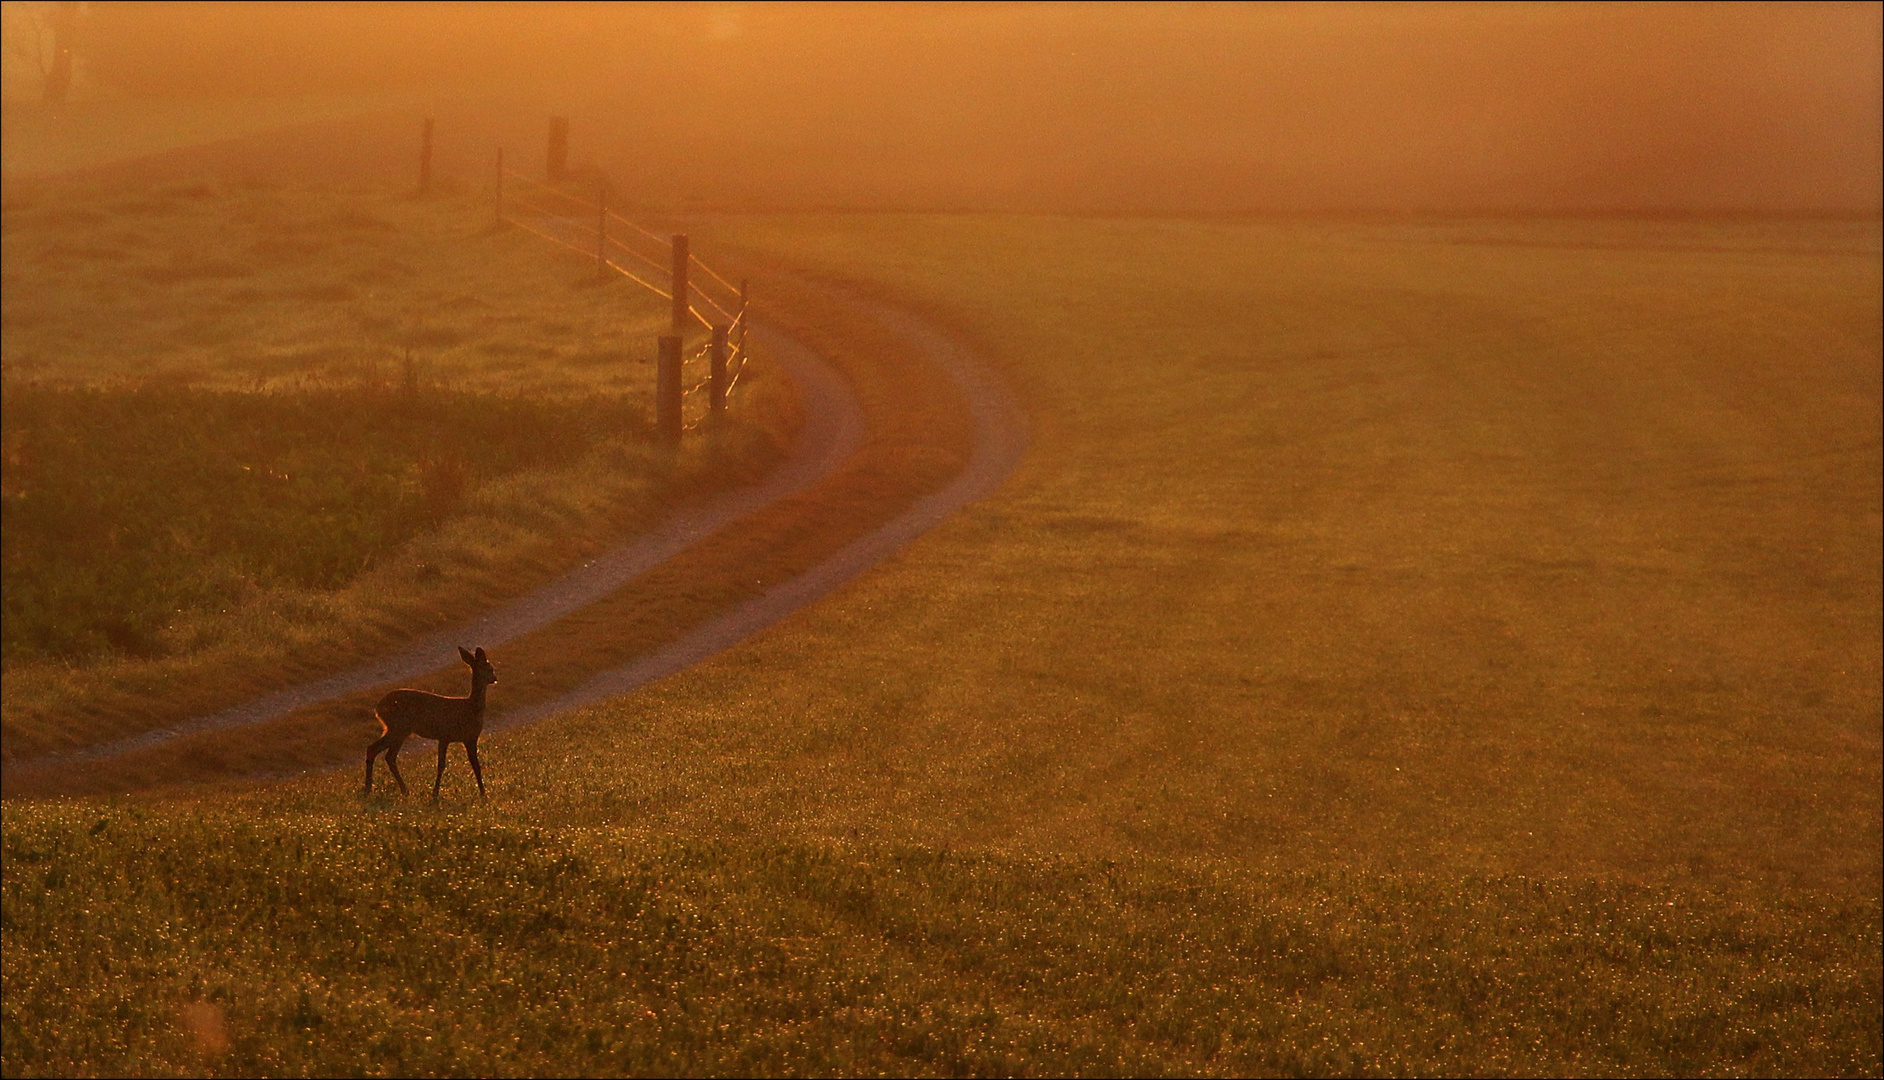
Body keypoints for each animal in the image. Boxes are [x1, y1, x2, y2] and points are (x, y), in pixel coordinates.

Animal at [363, 640, 497, 799]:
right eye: (490, 668)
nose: (495, 678)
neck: (470, 708)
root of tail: (378, 708)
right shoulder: (448, 735)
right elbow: (445, 765)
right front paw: (436, 793)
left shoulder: (466, 738)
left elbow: (473, 765)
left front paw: (482, 792)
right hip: (399, 728)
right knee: (380, 751)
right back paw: (375, 788)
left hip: (397, 729)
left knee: (383, 753)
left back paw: (393, 789)